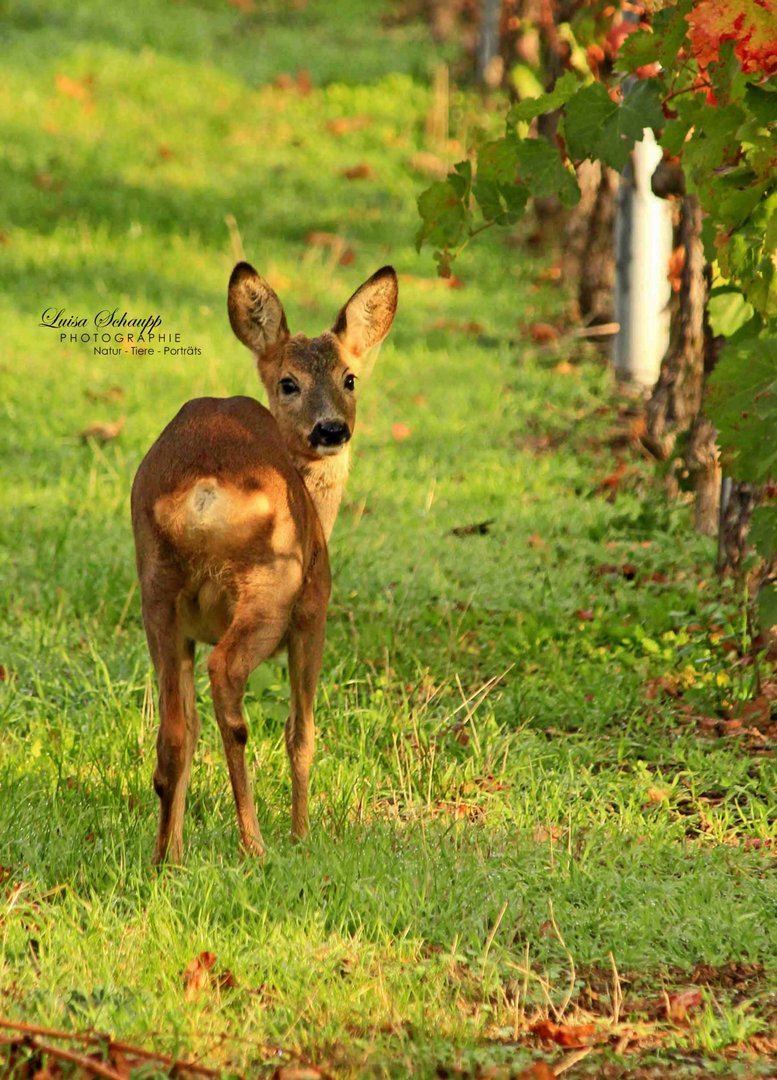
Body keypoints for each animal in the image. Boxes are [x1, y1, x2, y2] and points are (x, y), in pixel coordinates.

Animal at [131, 261, 397, 859]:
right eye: (288, 382)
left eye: (350, 378)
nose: (331, 429)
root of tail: (203, 489)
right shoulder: (314, 612)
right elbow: (302, 732)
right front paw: (302, 834)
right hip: (270, 587)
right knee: (226, 679)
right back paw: (255, 844)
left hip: (156, 588)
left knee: (176, 729)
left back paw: (166, 858)